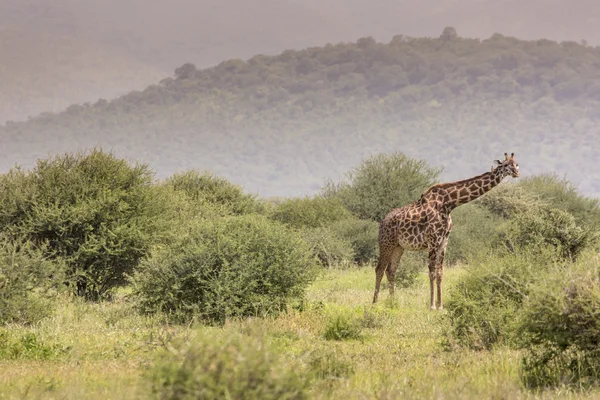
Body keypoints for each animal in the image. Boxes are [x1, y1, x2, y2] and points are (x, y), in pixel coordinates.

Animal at [372, 153, 516, 310]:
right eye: (505, 165)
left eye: (516, 164)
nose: (516, 173)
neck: (449, 204)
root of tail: (382, 222)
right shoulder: (433, 240)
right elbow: (431, 271)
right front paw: (432, 306)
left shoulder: (444, 241)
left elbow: (440, 272)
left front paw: (440, 306)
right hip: (386, 243)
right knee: (379, 269)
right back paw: (375, 303)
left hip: (399, 247)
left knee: (391, 270)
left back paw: (393, 302)